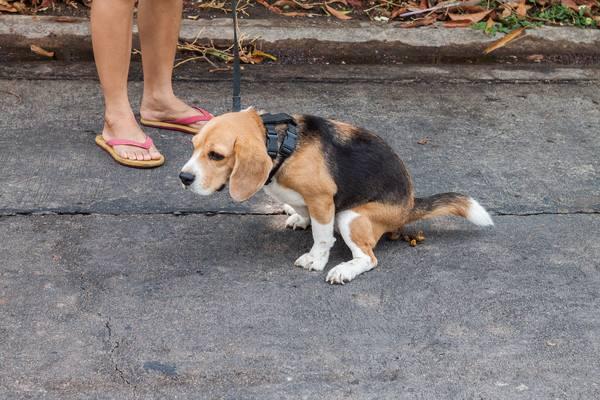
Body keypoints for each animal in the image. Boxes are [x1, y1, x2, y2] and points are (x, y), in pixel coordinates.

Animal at [178, 108, 492, 284]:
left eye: (216, 155)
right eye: (193, 146)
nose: (183, 178)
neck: (280, 144)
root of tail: (410, 204)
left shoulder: (322, 199)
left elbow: (322, 236)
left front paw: (316, 259)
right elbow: (304, 212)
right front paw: (299, 217)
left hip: (351, 217)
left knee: (368, 258)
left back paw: (344, 270)